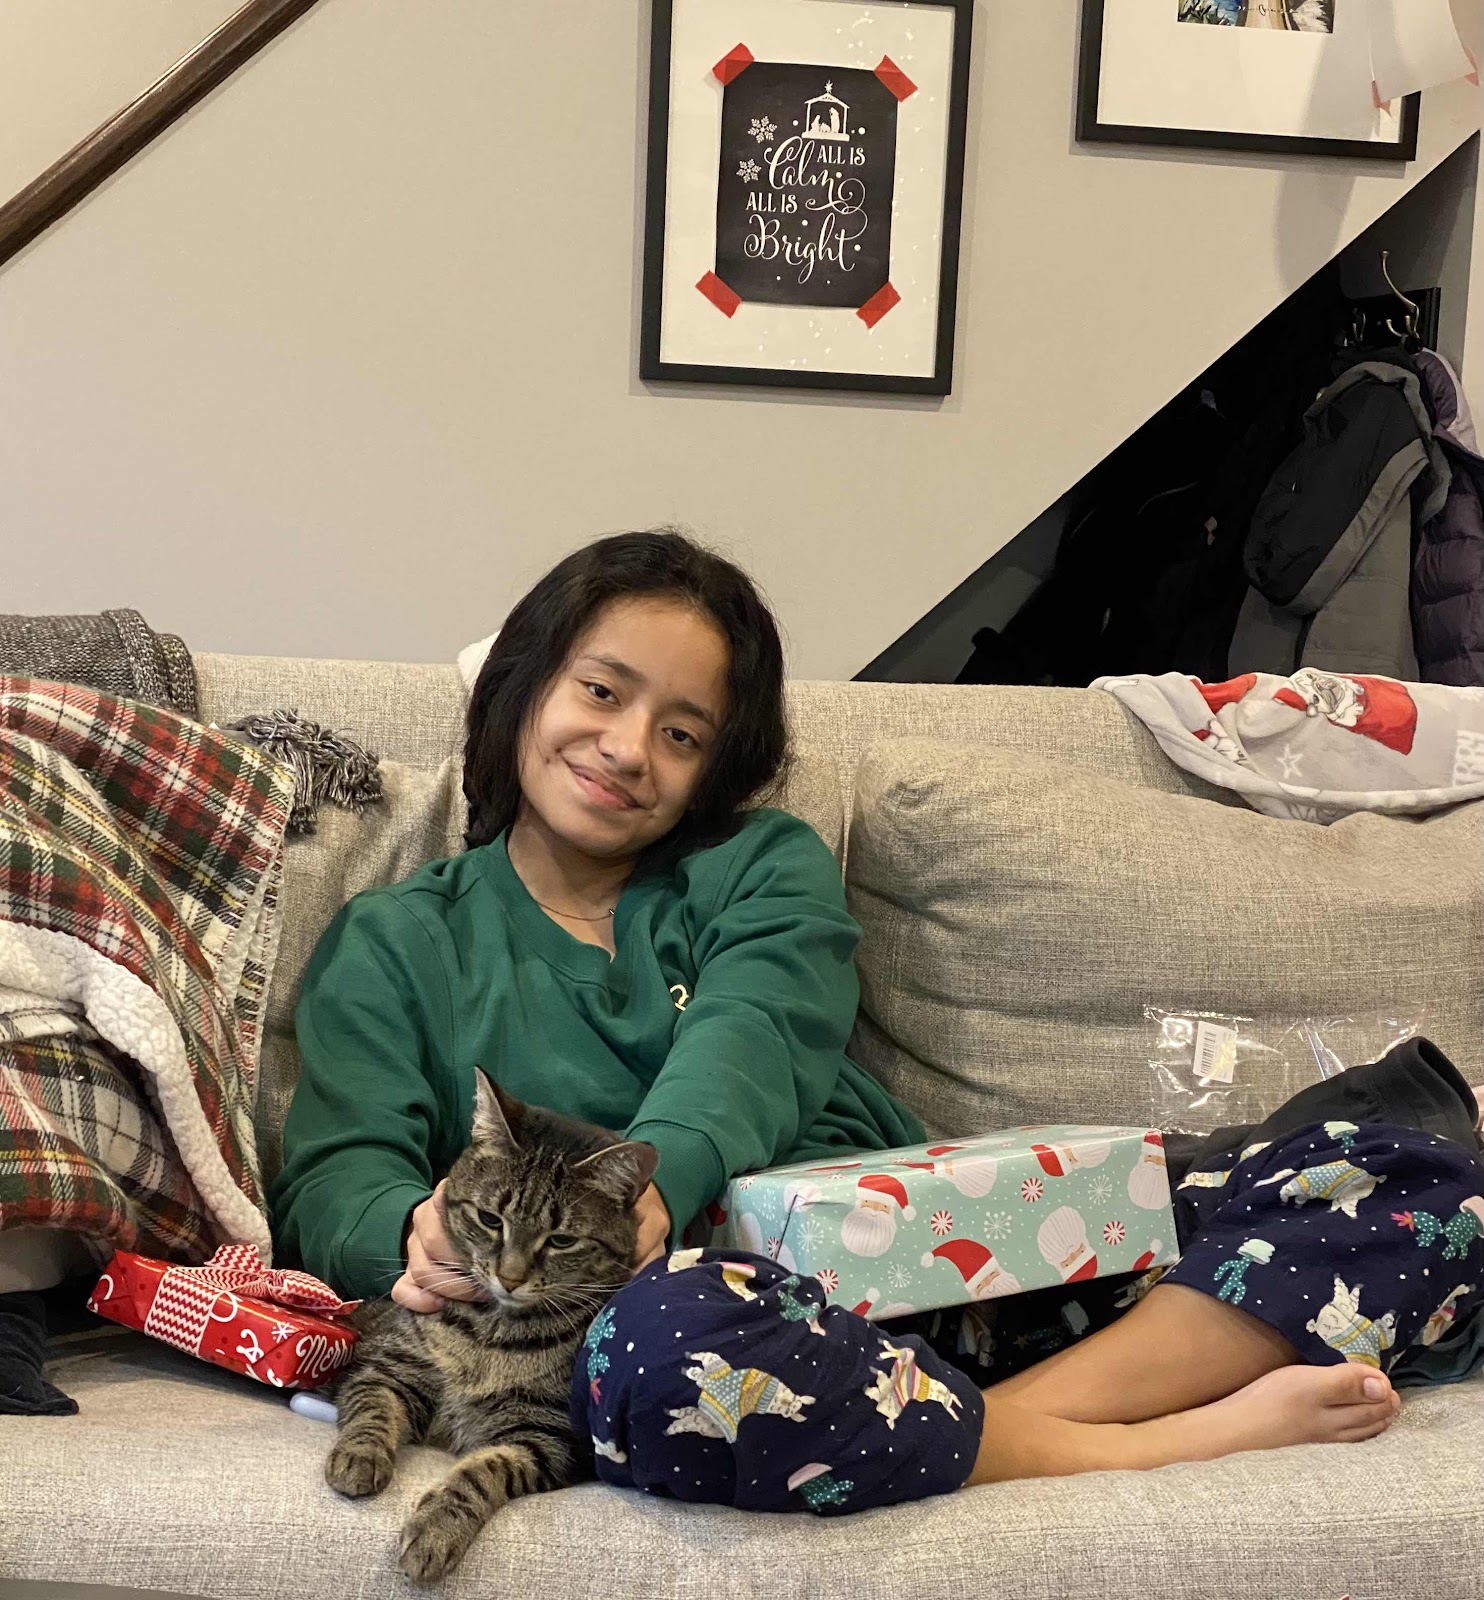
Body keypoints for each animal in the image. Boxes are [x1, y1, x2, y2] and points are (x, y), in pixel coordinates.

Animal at [324, 1073, 656, 1585]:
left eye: (562, 1240)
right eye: (489, 1219)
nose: (511, 1277)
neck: (490, 1332)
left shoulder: (547, 1437)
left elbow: (483, 1471)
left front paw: (436, 1531)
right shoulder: (389, 1368)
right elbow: (373, 1409)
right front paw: (359, 1457)